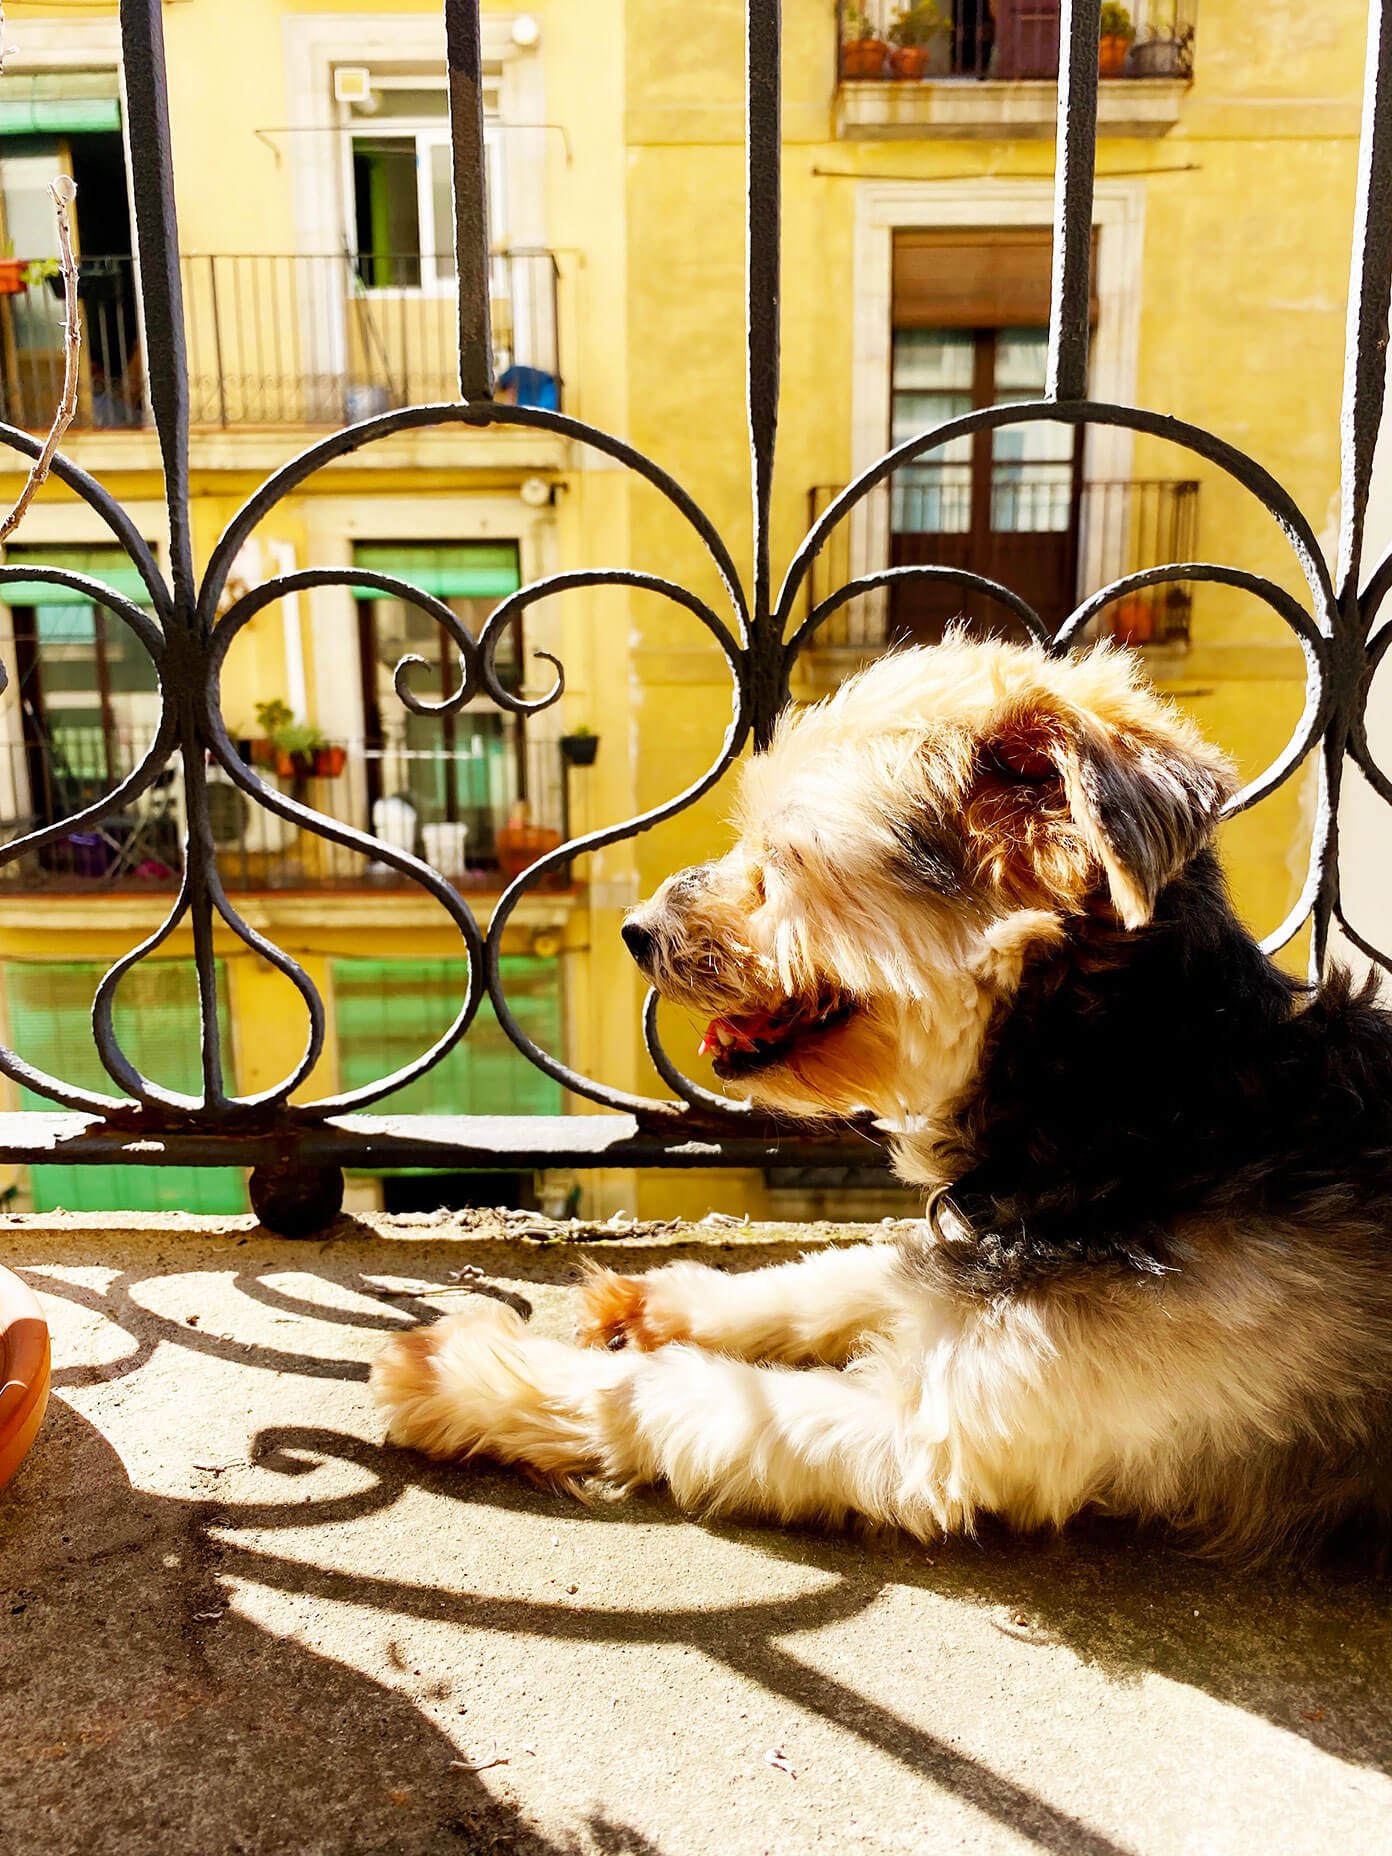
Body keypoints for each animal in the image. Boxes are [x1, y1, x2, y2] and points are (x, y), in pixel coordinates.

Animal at [371, 638, 1392, 1566]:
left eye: (785, 856)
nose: (636, 929)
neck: (1149, 1102)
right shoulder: (950, 1254)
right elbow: (834, 1274)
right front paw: (660, 1300)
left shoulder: (936, 1434)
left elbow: (680, 1392)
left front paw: (467, 1374)